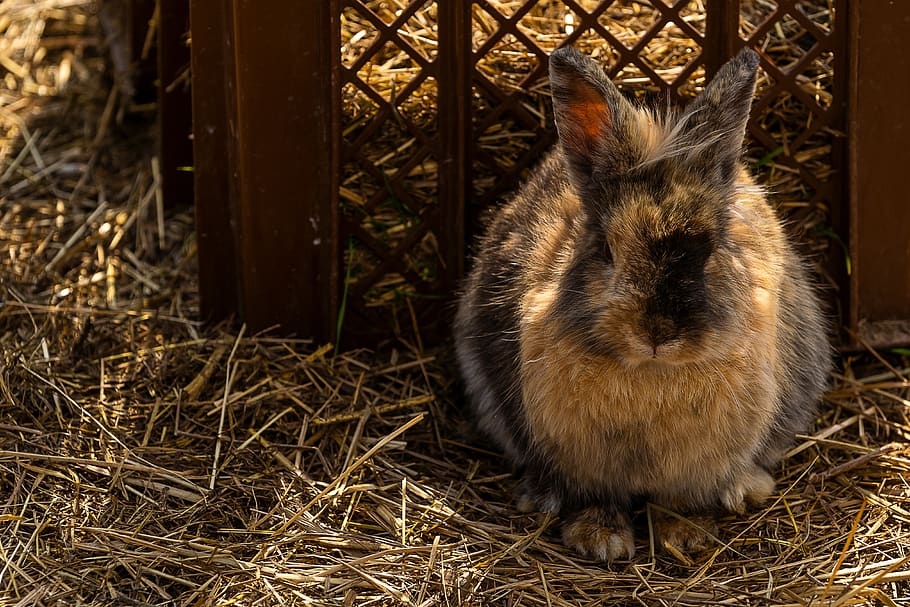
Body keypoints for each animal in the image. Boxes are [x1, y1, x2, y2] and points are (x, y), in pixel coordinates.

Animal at [453, 46, 830, 562]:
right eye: (607, 251)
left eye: (710, 250)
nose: (657, 332)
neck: (651, 372)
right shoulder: (581, 461)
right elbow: (594, 497)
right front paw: (600, 541)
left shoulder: (695, 468)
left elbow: (680, 500)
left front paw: (686, 536)